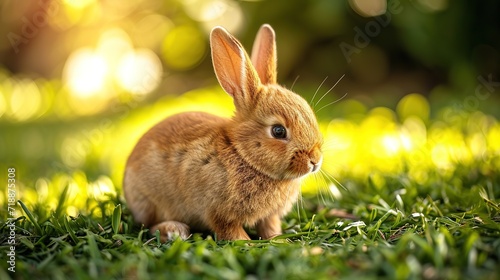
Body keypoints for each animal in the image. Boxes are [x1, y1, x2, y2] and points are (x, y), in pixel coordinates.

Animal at [123, 24, 322, 241]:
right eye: (278, 131)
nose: (315, 161)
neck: (242, 154)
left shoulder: (269, 216)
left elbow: (269, 226)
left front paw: (277, 239)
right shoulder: (218, 212)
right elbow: (230, 231)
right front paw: (247, 243)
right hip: (149, 201)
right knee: (148, 225)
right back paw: (174, 230)